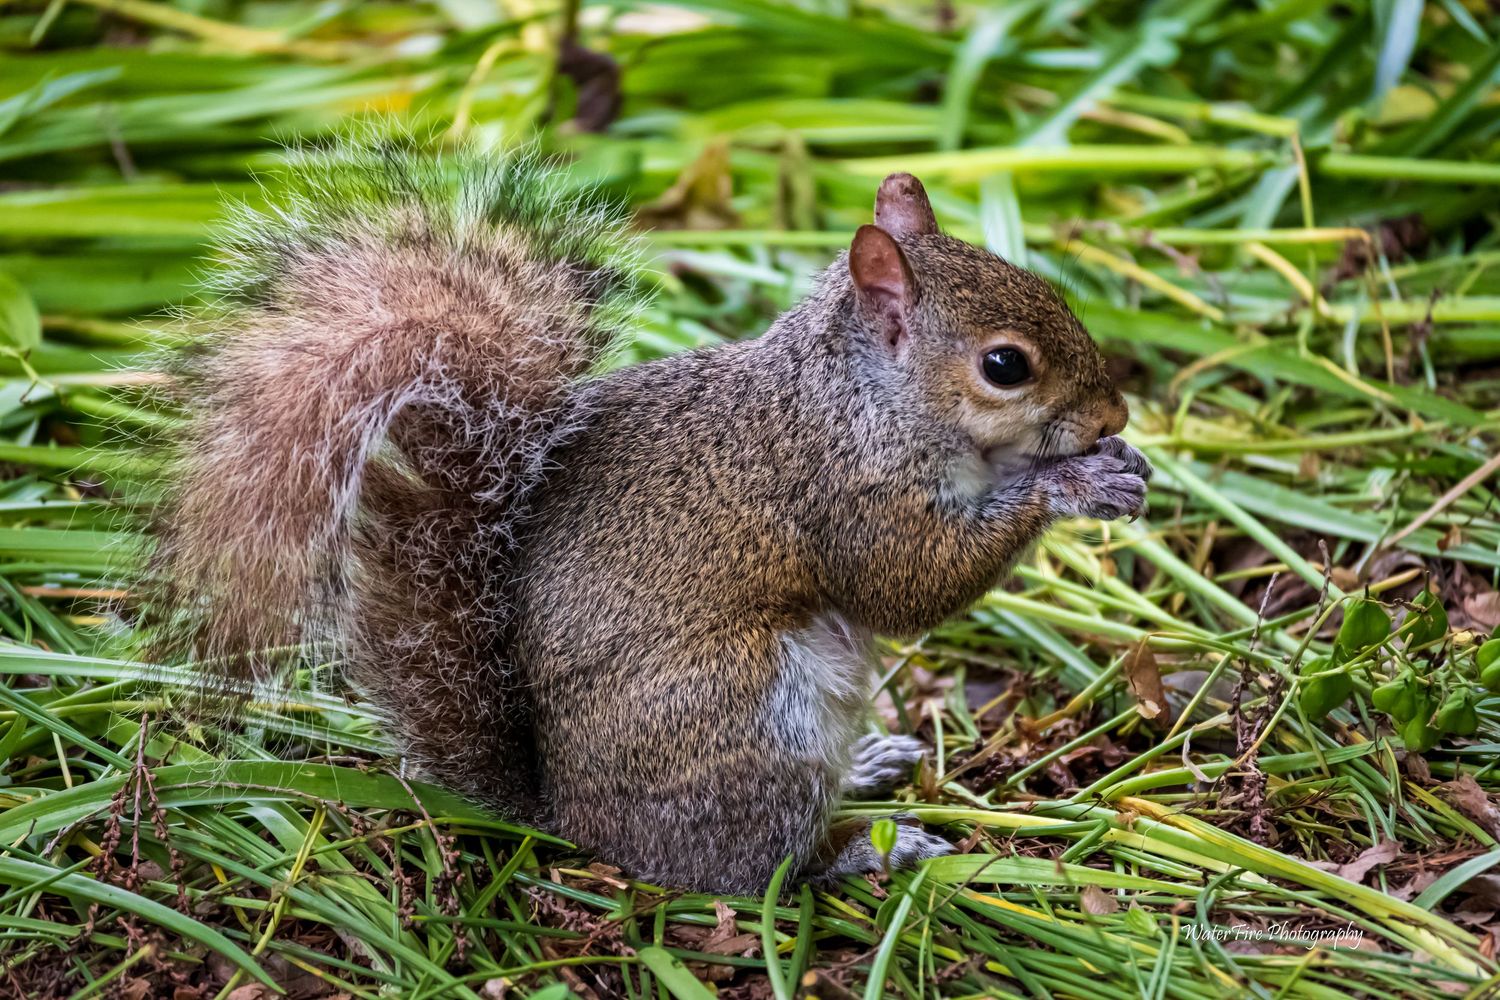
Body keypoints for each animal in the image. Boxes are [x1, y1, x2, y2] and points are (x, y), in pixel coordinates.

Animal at [143, 136, 1151, 894]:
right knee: (756, 869)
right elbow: (907, 586)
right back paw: (868, 847)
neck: (862, 395)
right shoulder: (844, 491)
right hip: (749, 718)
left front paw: (1120, 468)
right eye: (1005, 366)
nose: (1116, 416)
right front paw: (1075, 486)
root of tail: (570, 817)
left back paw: (862, 769)